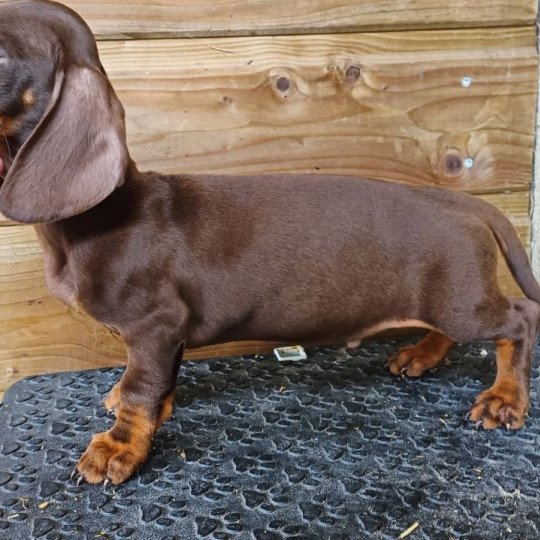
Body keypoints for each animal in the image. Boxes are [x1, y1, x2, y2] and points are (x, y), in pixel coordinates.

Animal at [1, 0, 540, 486]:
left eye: (3, 54)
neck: (101, 216)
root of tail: (463, 202)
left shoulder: (155, 324)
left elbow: (140, 388)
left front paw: (119, 447)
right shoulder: (168, 332)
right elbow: (158, 381)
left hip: (461, 300)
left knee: (518, 319)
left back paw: (506, 399)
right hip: (448, 296)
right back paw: (422, 355)